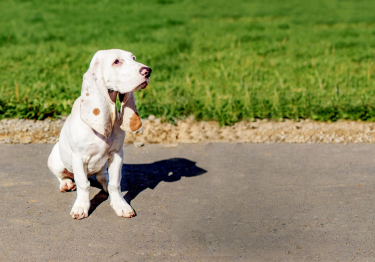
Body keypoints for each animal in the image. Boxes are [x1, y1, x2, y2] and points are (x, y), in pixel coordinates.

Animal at [47, 48, 151, 219]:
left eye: (134, 58)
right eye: (116, 61)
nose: (148, 71)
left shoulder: (117, 154)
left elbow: (115, 183)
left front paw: (120, 205)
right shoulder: (78, 157)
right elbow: (83, 184)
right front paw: (81, 207)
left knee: (103, 177)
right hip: (55, 160)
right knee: (62, 176)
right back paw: (66, 183)